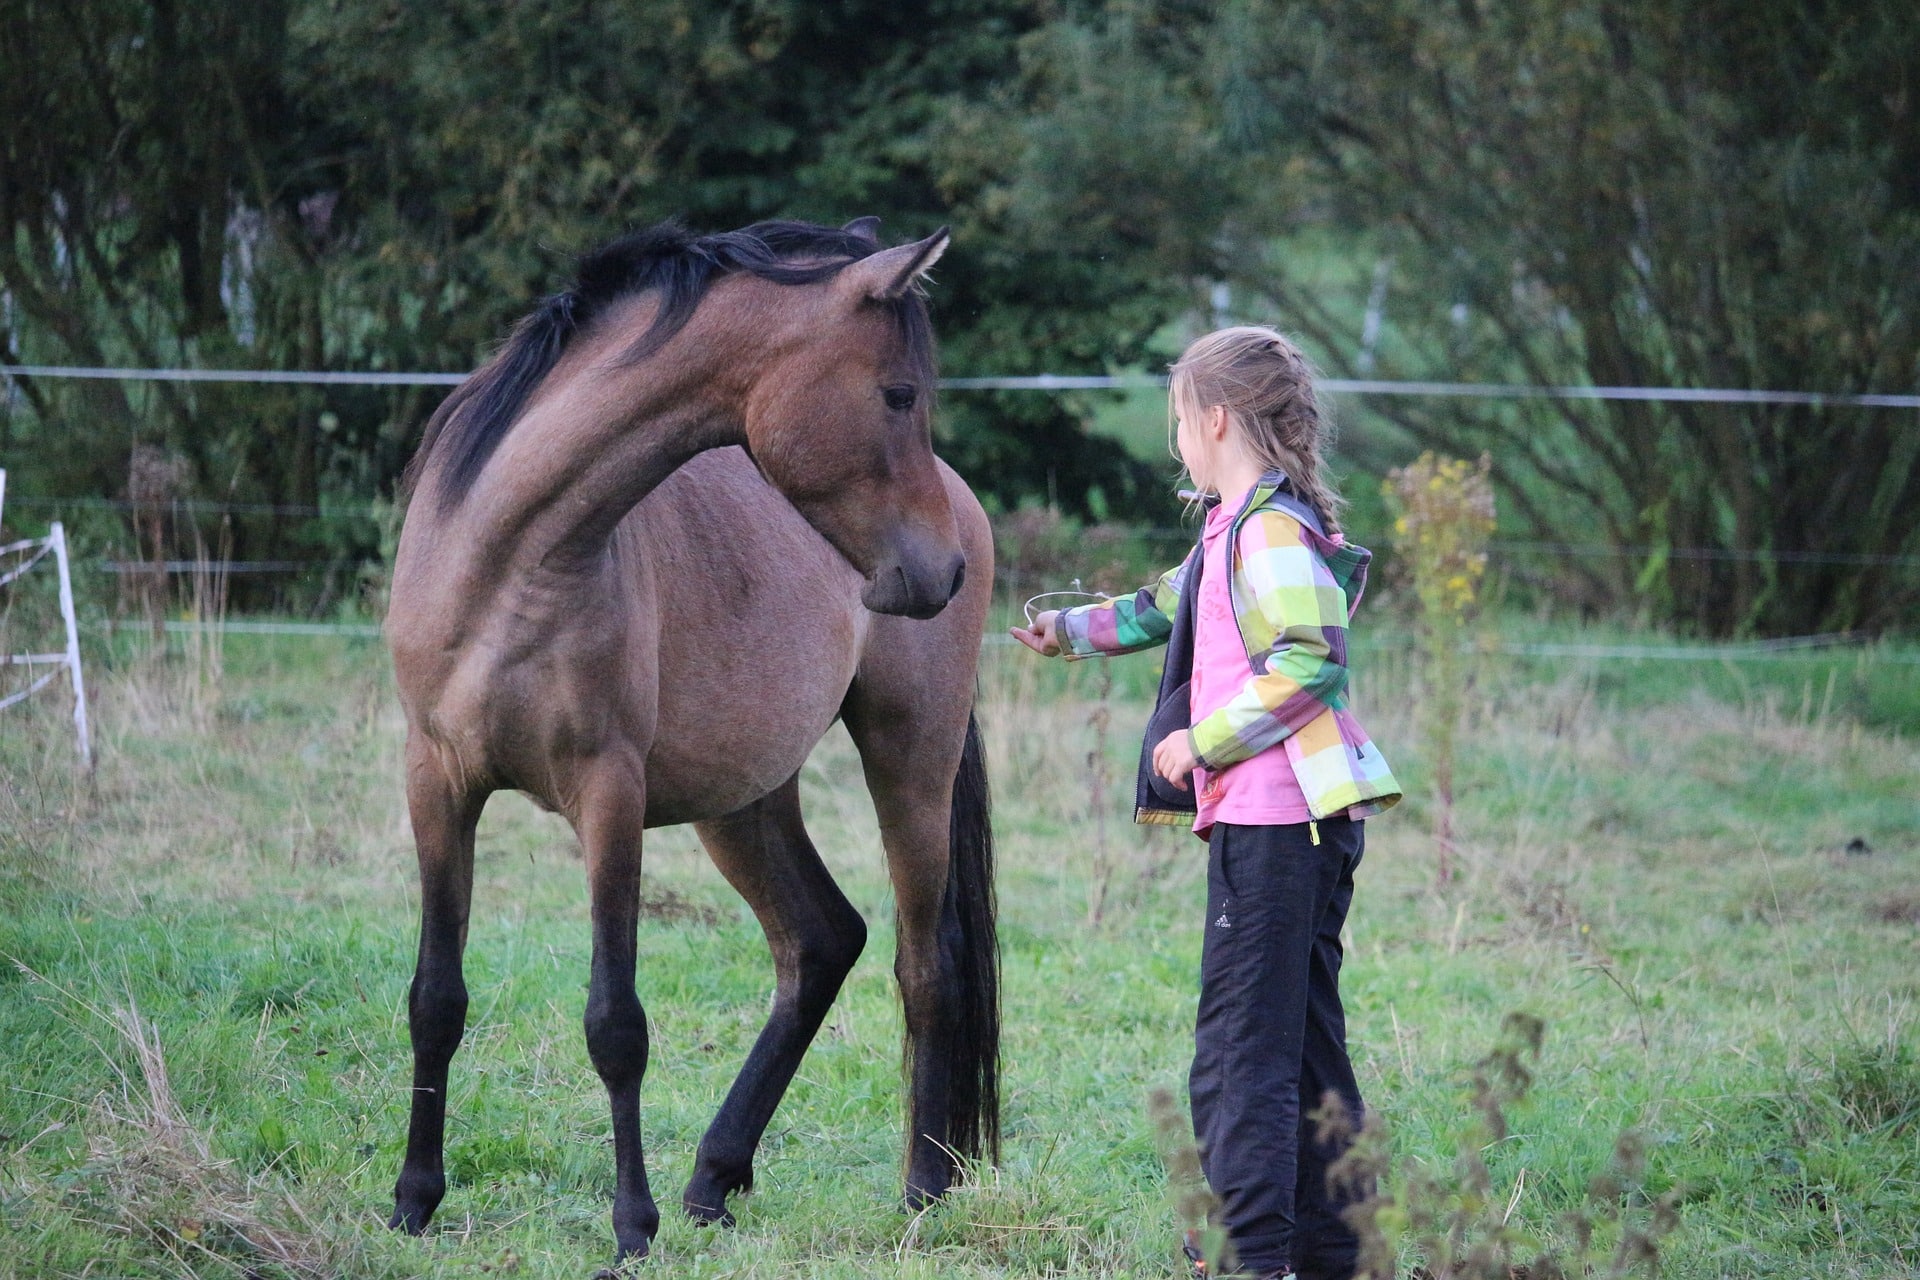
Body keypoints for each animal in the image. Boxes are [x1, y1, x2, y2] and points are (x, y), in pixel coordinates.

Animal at [382, 217, 998, 1258]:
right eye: (898, 394)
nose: (940, 569)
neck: (512, 564)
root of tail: (970, 503)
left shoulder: (608, 796)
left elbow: (615, 1022)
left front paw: (631, 1227)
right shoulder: (437, 783)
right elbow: (436, 1000)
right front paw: (414, 1200)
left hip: (909, 759)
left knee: (927, 964)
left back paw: (920, 1190)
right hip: (745, 800)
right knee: (820, 941)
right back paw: (716, 1176)